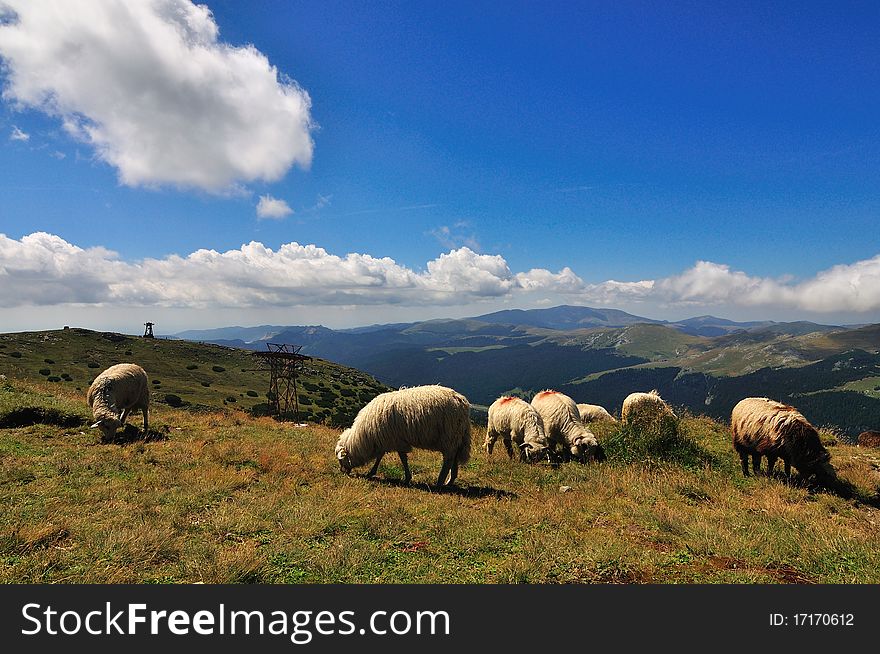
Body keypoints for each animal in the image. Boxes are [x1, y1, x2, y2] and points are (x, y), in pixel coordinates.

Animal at [334, 384, 470, 486]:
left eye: (341, 460)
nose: (342, 472)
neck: (365, 436)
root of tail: (462, 401)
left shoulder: (396, 440)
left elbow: (402, 459)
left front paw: (407, 478)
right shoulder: (386, 440)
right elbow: (380, 456)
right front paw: (372, 472)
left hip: (449, 436)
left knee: (448, 460)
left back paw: (440, 482)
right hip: (457, 437)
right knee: (455, 457)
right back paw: (450, 480)